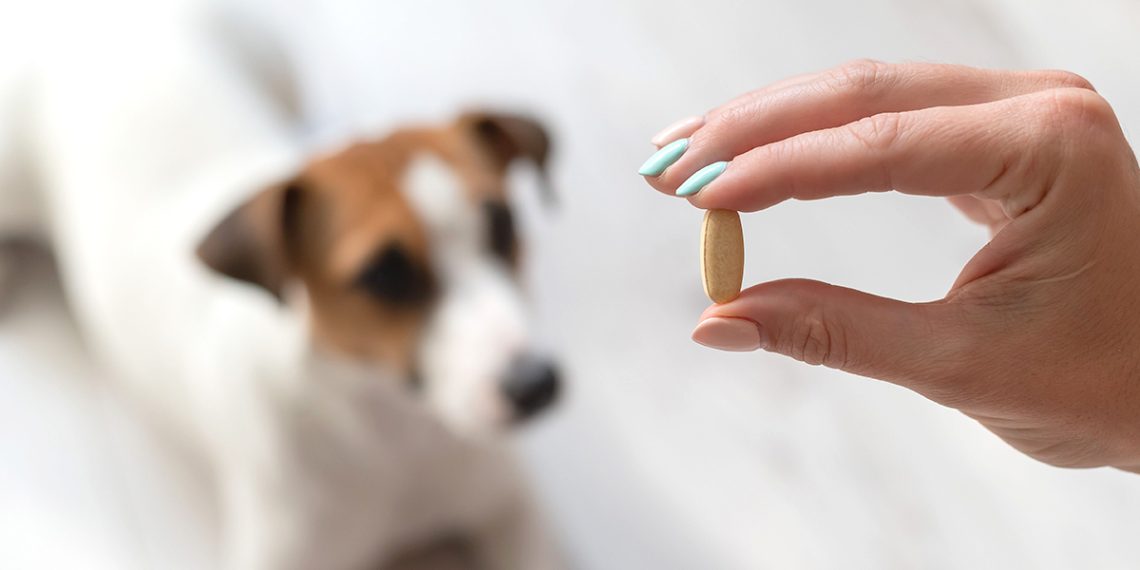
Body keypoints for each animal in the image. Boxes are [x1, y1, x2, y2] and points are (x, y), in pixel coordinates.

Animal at [0, 1, 562, 568]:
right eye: (383, 274)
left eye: (504, 225)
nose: (537, 383)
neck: (394, 428)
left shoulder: (511, 509)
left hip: (278, 63)